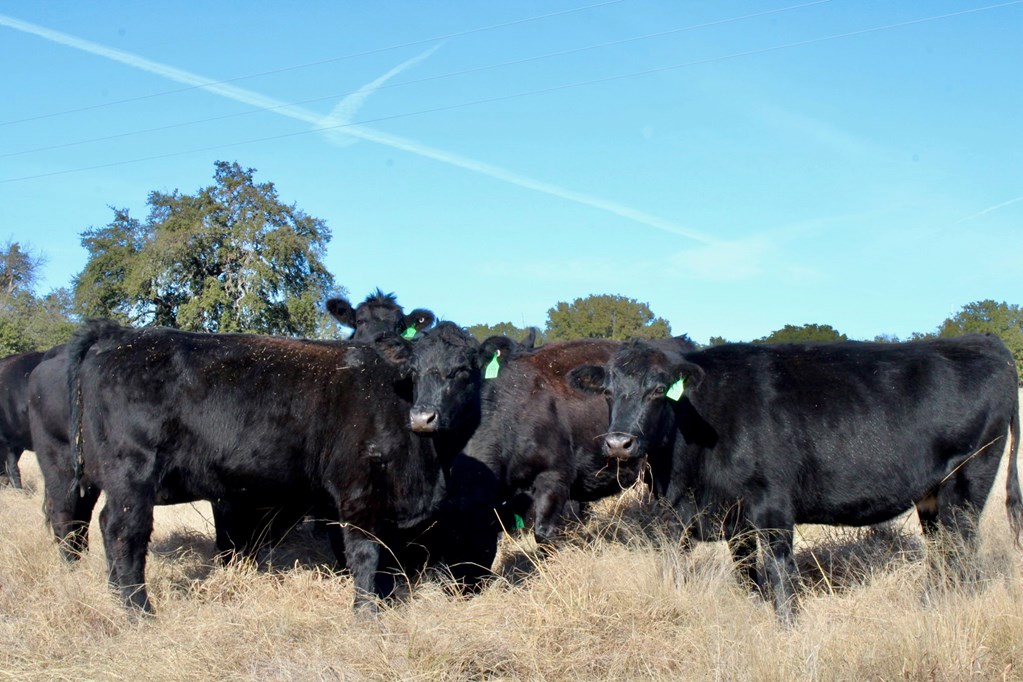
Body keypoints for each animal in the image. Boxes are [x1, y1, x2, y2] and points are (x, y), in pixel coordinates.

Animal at [63, 321, 443, 613]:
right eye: (417, 371)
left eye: (457, 372)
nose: (427, 416)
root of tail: (116, 334)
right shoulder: (361, 490)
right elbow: (365, 552)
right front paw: (367, 612)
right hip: (132, 476)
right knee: (123, 532)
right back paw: (138, 610)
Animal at [572, 335, 1018, 617]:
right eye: (608, 392)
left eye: (658, 391)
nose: (618, 443)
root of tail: (985, 342)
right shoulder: (723, 517)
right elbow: (744, 570)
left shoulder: (771, 504)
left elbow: (779, 570)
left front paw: (786, 625)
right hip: (933, 496)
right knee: (942, 553)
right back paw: (929, 604)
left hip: (967, 484)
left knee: (961, 553)